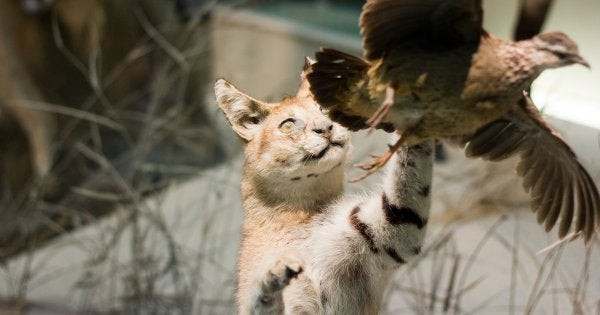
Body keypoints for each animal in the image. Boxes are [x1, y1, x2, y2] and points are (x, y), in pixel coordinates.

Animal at [216, 60, 432, 314]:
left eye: (324, 109)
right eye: (288, 126)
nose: (326, 127)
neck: (297, 213)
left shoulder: (393, 234)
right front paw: (272, 274)